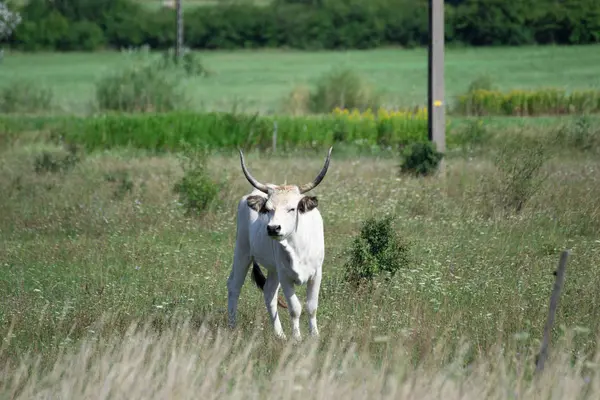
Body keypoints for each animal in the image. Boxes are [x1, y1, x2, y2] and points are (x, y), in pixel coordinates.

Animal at [229, 148, 332, 340]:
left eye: (292, 208)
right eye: (268, 209)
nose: (273, 228)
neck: (299, 247)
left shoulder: (316, 273)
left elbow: (312, 306)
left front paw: (314, 335)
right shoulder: (285, 276)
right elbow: (295, 308)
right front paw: (297, 337)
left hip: (273, 268)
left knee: (269, 292)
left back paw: (279, 334)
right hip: (242, 251)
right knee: (234, 286)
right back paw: (231, 326)